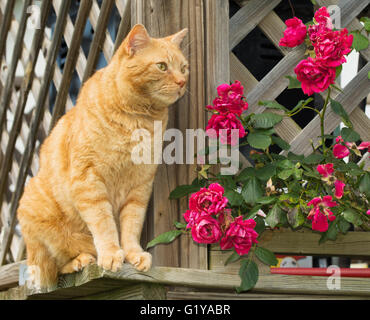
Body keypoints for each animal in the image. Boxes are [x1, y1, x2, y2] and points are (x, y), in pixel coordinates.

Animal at [16, 24, 188, 290]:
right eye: (162, 66)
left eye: (184, 67)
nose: (182, 81)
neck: (139, 118)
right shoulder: (89, 181)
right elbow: (104, 224)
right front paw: (111, 254)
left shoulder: (140, 187)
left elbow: (131, 225)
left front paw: (132, 253)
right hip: (39, 221)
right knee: (52, 269)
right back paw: (82, 260)